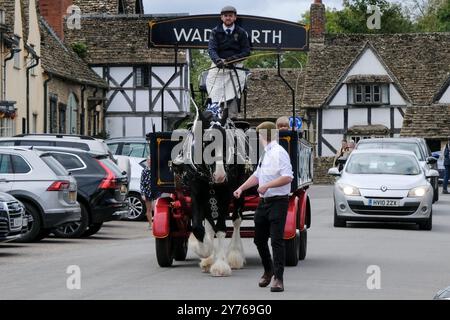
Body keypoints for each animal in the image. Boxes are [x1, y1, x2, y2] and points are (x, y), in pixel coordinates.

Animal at [172, 101, 253, 276]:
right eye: (205, 143)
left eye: (226, 143)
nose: (220, 176)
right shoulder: (197, 193)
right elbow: (199, 227)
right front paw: (205, 251)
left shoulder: (226, 194)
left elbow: (221, 228)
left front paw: (220, 264)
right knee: (210, 225)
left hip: (239, 191)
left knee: (236, 220)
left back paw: (235, 255)